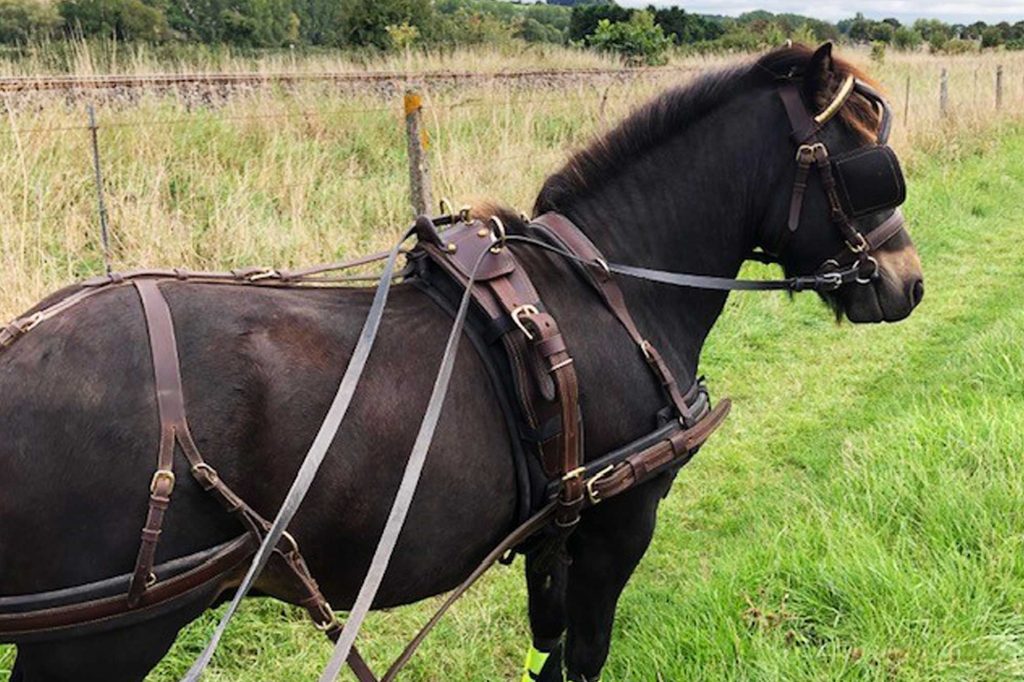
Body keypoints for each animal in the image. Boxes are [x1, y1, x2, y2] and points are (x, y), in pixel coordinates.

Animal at [0, 43, 925, 679]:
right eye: (866, 163)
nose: (907, 281)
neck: (613, 282)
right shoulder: (621, 521)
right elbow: (586, 653)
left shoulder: (559, 524)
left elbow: (548, 650)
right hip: (106, 637)